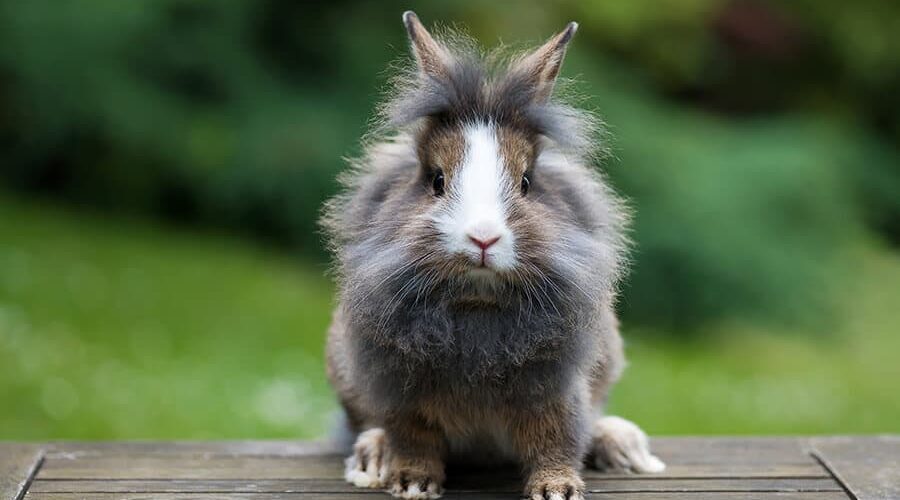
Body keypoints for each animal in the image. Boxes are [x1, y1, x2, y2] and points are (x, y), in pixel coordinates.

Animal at [320, 10, 664, 500]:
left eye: (526, 182)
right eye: (437, 180)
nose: (483, 238)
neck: (477, 302)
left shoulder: (555, 388)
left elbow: (556, 438)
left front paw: (557, 490)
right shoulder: (402, 387)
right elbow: (413, 436)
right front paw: (412, 483)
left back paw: (622, 445)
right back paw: (374, 455)